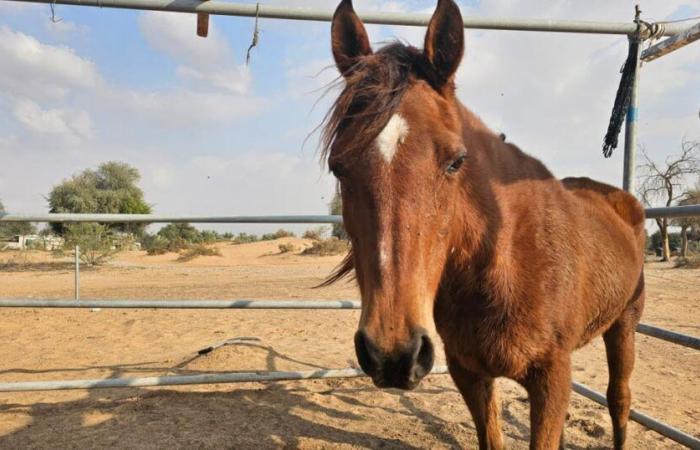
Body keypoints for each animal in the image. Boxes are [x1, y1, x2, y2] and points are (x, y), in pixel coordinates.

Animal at [322, 0, 644, 450]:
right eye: (338, 166)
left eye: (456, 161)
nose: (393, 353)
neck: (507, 261)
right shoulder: (469, 373)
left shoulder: (551, 377)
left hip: (624, 323)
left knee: (619, 399)